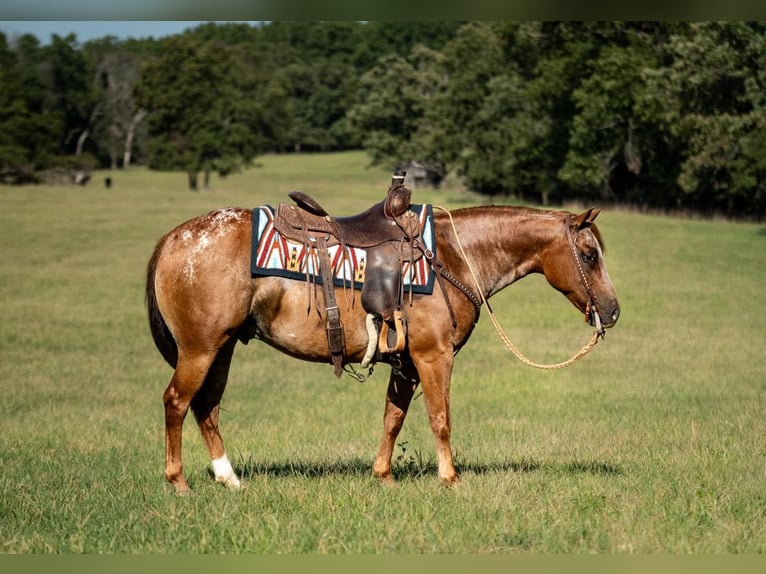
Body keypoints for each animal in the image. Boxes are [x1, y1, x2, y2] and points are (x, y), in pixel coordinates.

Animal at [146, 200, 624, 492]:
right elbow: (440, 419)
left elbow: (393, 419)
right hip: (200, 350)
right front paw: (450, 479)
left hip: (222, 347)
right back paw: (178, 481)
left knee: (206, 406)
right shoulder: (433, 356)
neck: (452, 256)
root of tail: (173, 238)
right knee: (177, 401)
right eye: (589, 255)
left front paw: (383, 475)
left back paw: (229, 479)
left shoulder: (405, 364)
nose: (613, 310)